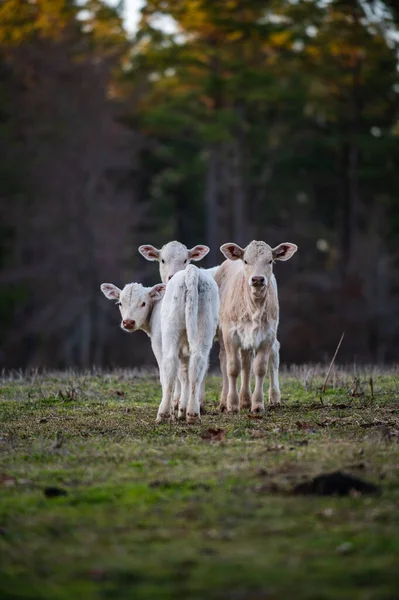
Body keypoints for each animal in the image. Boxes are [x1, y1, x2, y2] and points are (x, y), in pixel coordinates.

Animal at [100, 264, 219, 424]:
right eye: (120, 303)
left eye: (143, 303)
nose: (128, 322)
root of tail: (191, 270)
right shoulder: (184, 351)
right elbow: (184, 376)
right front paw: (181, 410)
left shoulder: (157, 342)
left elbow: (170, 376)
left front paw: (173, 411)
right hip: (205, 328)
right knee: (197, 365)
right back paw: (193, 414)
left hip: (169, 332)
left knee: (169, 365)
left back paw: (163, 414)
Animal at [216, 239, 296, 412]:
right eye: (246, 261)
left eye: (270, 261)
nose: (258, 279)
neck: (254, 307)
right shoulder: (230, 334)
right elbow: (233, 368)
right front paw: (232, 404)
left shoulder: (268, 335)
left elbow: (259, 368)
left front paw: (258, 403)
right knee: (226, 361)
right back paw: (226, 400)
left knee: (258, 359)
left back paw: (261, 398)